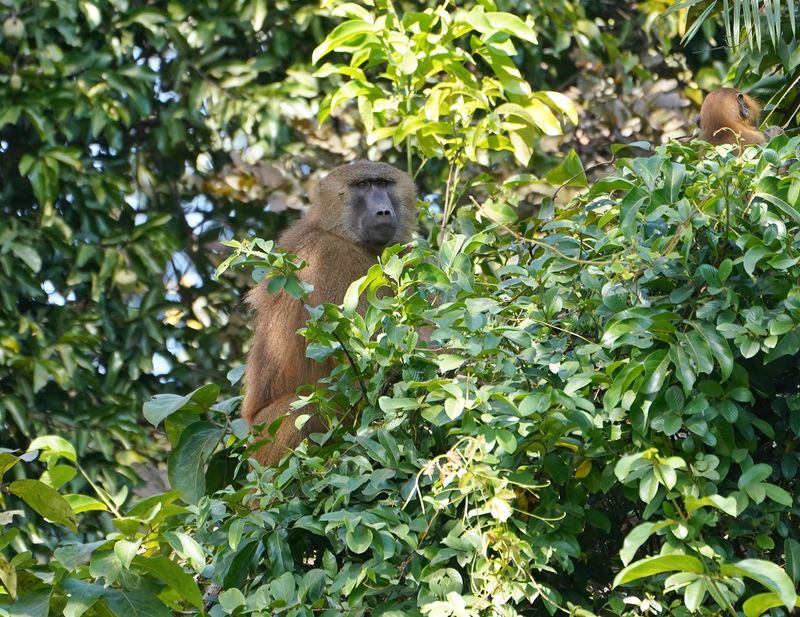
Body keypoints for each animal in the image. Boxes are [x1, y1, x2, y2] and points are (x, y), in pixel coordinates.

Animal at [241, 161, 417, 466]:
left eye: (384, 184)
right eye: (363, 185)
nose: (383, 211)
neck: (340, 233)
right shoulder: (330, 259)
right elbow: (369, 367)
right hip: (265, 442)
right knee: (307, 407)